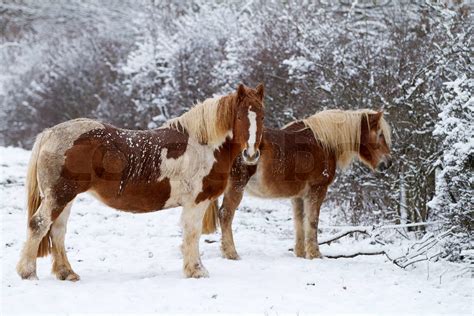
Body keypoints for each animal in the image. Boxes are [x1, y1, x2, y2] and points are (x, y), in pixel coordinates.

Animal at [16, 82, 264, 280]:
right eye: (240, 116)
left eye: (261, 116)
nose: (251, 154)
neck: (203, 145)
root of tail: (50, 133)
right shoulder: (197, 202)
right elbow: (192, 233)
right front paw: (197, 270)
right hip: (59, 195)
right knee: (39, 224)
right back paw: (28, 272)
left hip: (66, 197)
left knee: (57, 230)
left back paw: (66, 273)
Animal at [204, 110, 392, 260]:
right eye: (380, 134)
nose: (388, 164)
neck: (324, 143)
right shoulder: (317, 190)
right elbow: (313, 221)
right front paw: (315, 254)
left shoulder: (298, 196)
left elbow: (299, 221)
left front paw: (301, 253)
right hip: (237, 185)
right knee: (225, 214)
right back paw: (231, 253)